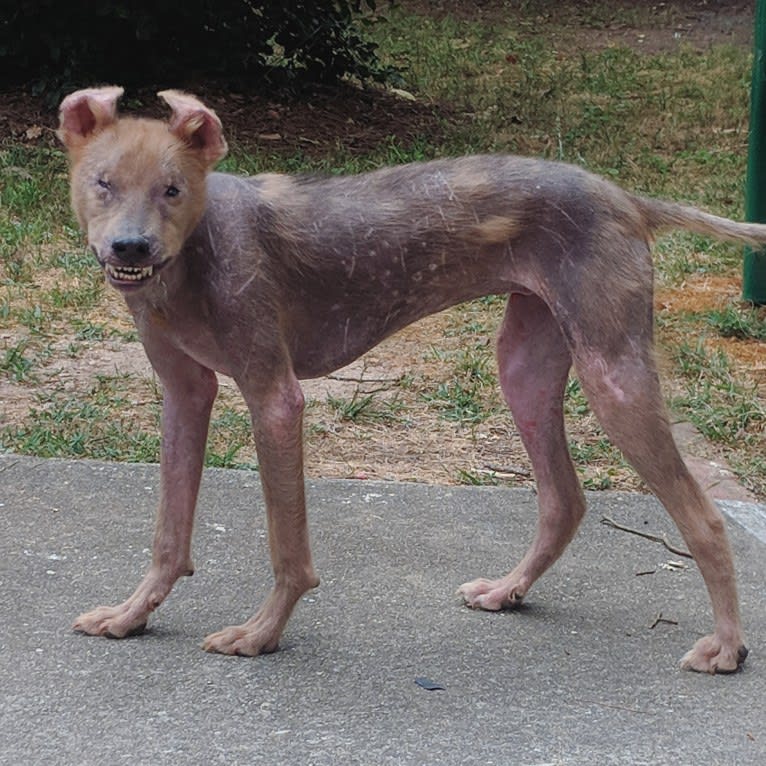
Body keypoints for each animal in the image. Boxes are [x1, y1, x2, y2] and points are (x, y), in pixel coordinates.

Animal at [55, 85, 760, 672]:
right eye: (103, 183)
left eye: (172, 189)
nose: (131, 248)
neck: (197, 251)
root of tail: (626, 198)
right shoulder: (186, 395)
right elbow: (168, 534)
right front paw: (132, 615)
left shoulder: (275, 399)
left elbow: (289, 550)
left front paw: (262, 634)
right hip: (525, 369)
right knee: (564, 499)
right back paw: (510, 590)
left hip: (613, 379)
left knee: (705, 520)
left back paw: (727, 645)